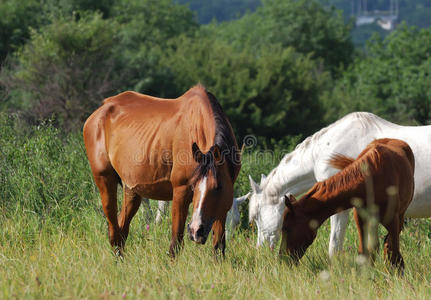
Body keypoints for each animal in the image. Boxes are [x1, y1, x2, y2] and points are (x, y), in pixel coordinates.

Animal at [82, 85, 241, 258]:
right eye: (193, 186)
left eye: (218, 187)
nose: (196, 231)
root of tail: (101, 110)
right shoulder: (180, 192)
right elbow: (175, 244)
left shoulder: (222, 204)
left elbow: (219, 247)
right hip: (105, 181)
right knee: (113, 231)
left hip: (131, 189)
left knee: (121, 230)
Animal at [280, 139, 416, 270]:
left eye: (286, 228)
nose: (283, 258)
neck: (371, 178)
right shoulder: (360, 217)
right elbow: (364, 251)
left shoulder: (393, 219)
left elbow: (394, 251)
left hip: (400, 215)